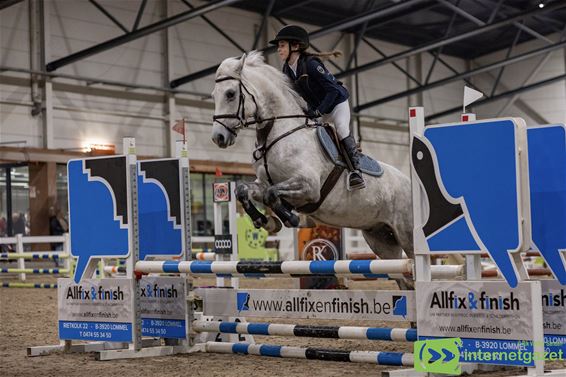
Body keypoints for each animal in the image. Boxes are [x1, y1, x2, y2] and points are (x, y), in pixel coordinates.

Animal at [211, 50, 414, 274]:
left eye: (230, 94)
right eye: (213, 95)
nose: (218, 137)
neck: (278, 132)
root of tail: (411, 184)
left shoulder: (309, 186)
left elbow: (272, 195)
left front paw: (291, 218)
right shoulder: (263, 183)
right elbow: (244, 190)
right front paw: (266, 221)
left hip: (407, 235)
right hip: (380, 239)